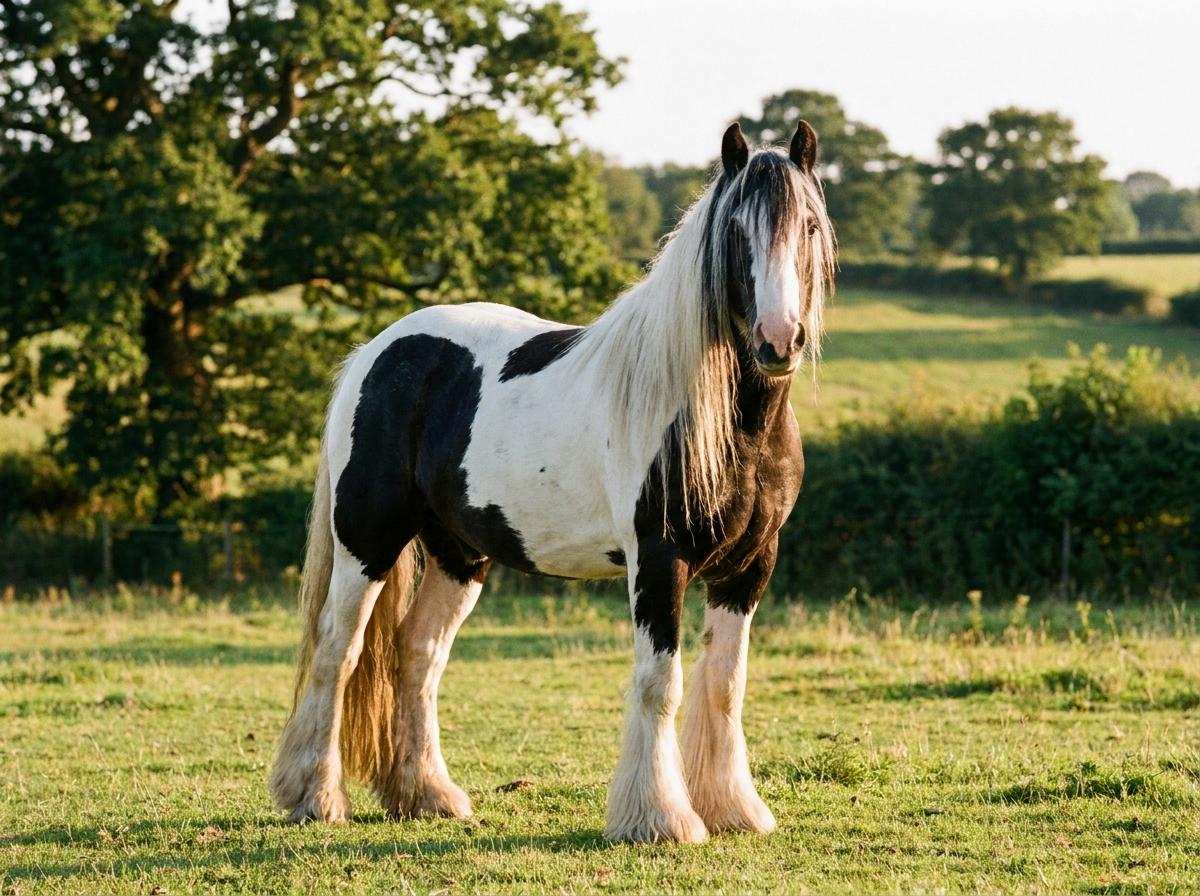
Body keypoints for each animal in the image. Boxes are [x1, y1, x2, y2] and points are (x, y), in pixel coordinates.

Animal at [269, 119, 836, 843]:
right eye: (737, 230)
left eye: (809, 226)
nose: (778, 341)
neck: (725, 419)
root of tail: (378, 350)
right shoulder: (660, 561)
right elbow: (661, 682)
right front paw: (659, 819)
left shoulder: (749, 566)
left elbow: (724, 685)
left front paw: (734, 808)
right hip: (366, 542)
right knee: (337, 652)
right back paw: (313, 796)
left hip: (460, 554)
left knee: (417, 655)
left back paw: (427, 795)